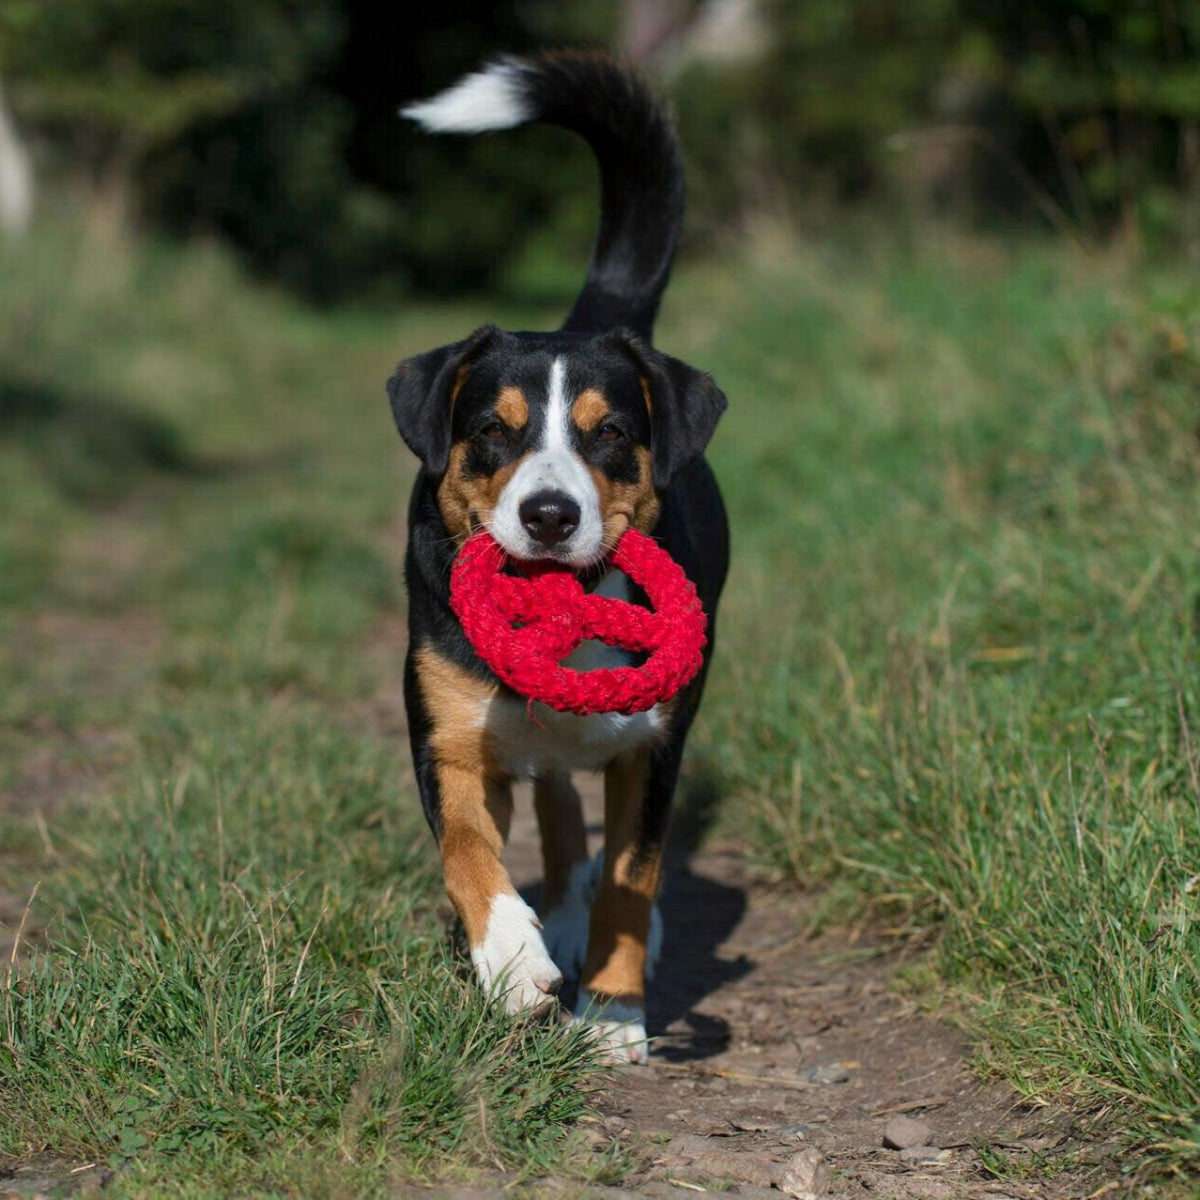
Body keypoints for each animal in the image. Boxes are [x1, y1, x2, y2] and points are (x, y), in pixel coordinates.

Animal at [393, 49, 729, 1060]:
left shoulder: (654, 745)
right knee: (551, 804)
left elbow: (635, 872)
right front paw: (510, 957)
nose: (547, 514)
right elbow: (469, 846)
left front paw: (615, 1014)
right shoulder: (448, 734)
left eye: (609, 431)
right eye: (493, 432)